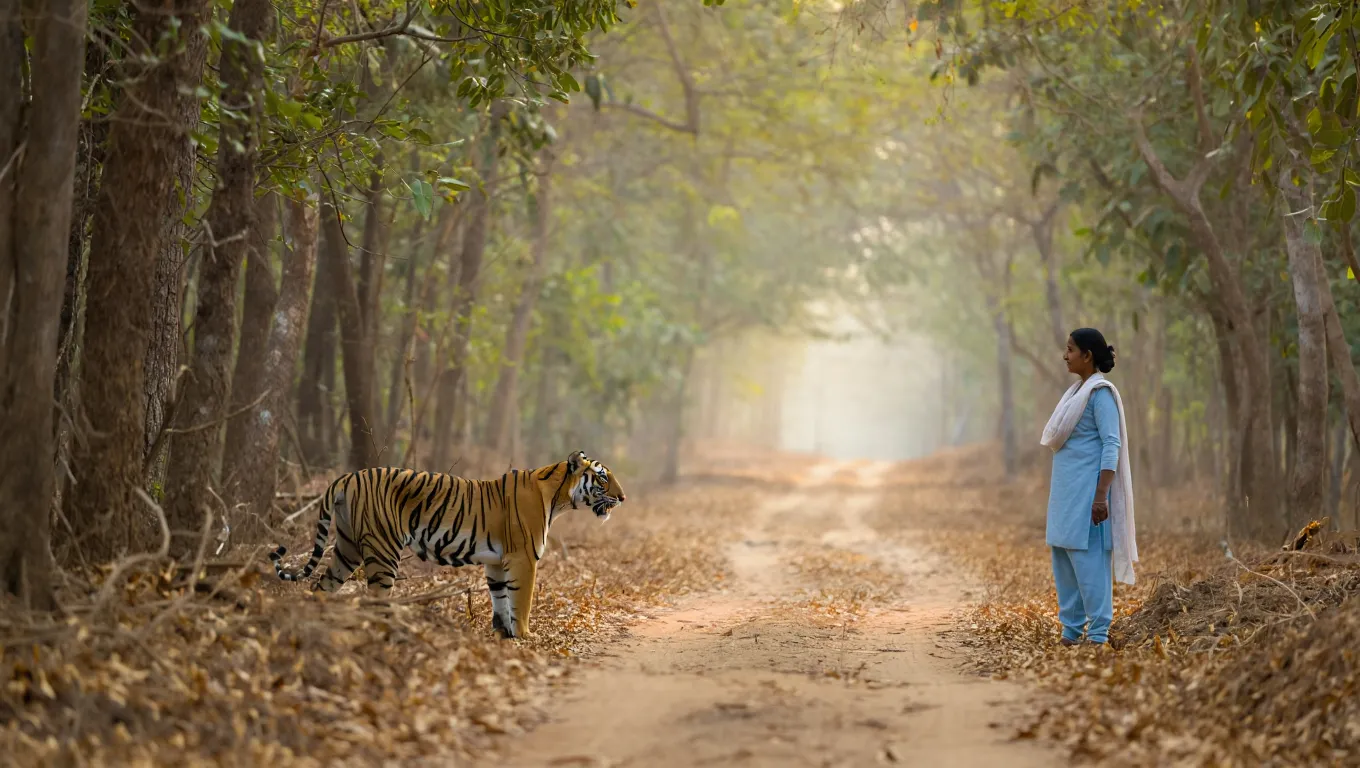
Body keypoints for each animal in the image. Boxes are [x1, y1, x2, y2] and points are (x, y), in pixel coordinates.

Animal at [269, 450, 626, 639]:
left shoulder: (496, 561)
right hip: (383, 550)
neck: (558, 497)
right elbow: (521, 601)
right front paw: (526, 636)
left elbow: (501, 600)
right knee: (376, 598)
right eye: (602, 477)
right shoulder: (523, 558)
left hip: (347, 548)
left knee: (320, 587)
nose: (623, 498)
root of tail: (348, 477)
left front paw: (503, 635)